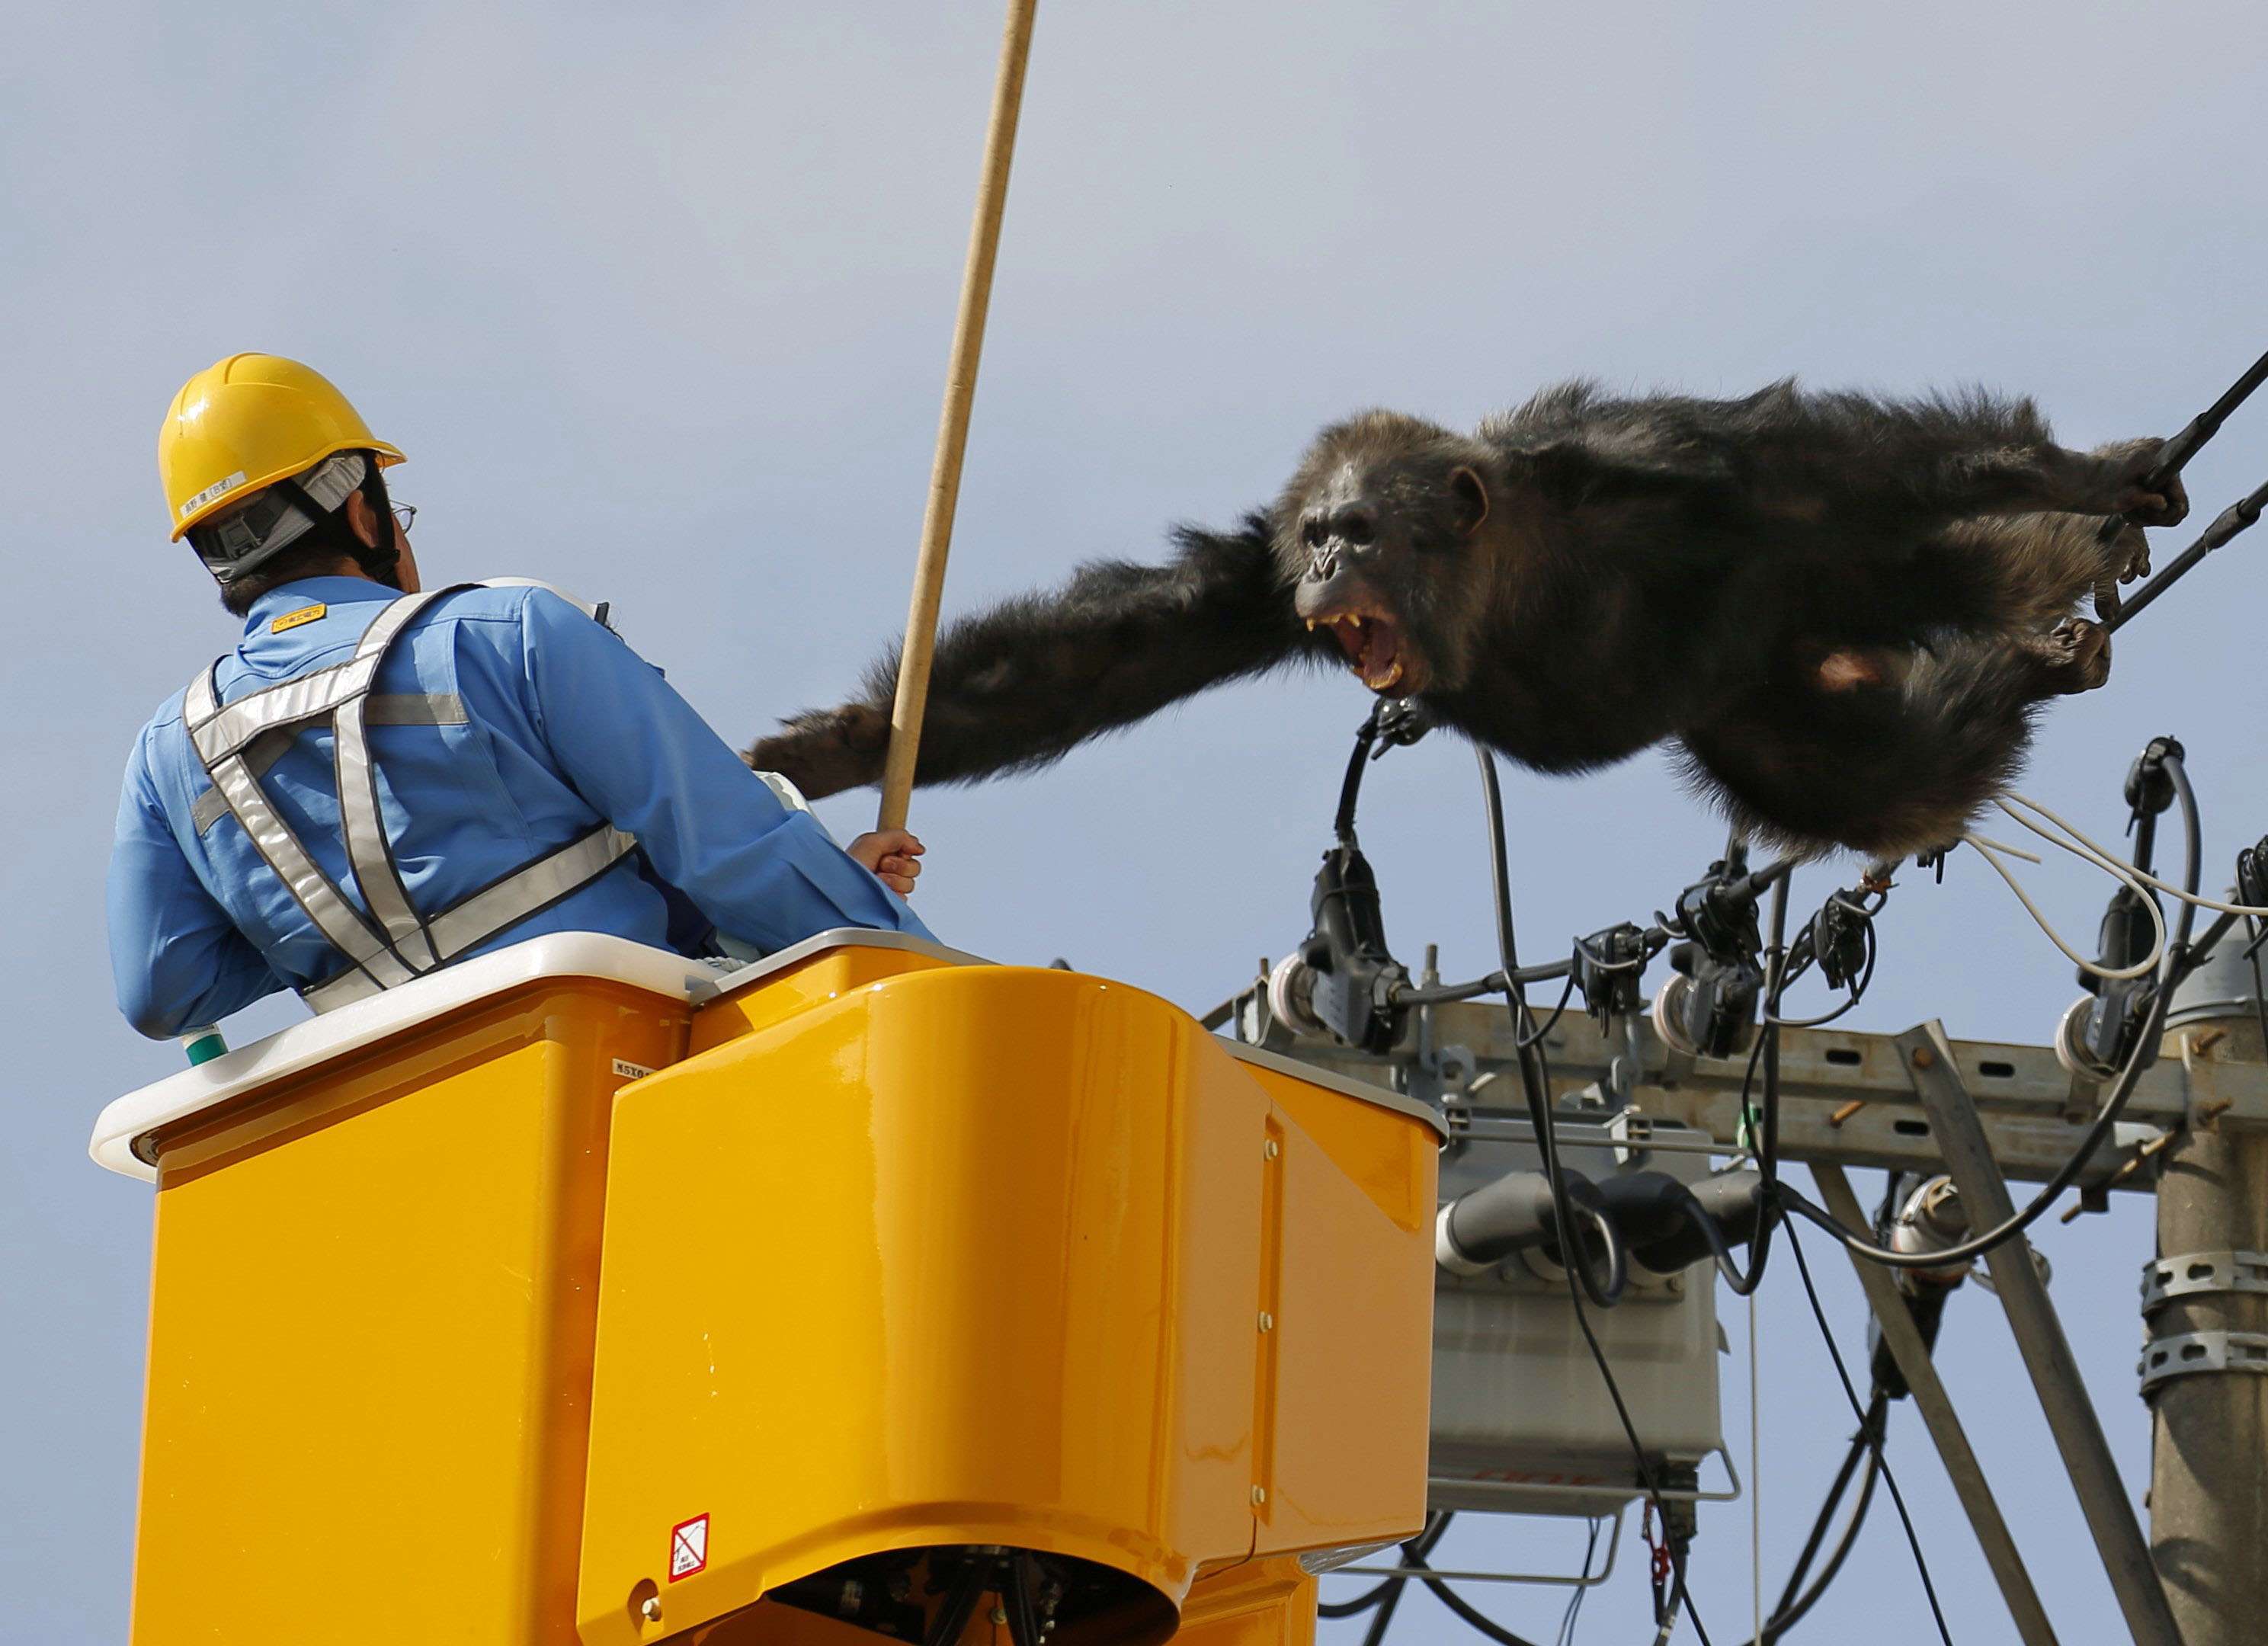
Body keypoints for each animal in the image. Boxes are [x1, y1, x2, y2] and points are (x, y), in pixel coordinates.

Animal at [750, 381, 2187, 861]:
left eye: (1357, 528)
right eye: (1316, 535)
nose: (1331, 567)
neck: (1507, 577)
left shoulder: (1677, 469)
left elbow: (1833, 461)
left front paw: (2080, 475)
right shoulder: (1253, 586)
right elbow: (1102, 657)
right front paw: (844, 743)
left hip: (1835, 589)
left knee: (1935, 622)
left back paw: (2052, 618)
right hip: (1760, 709)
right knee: (1871, 778)